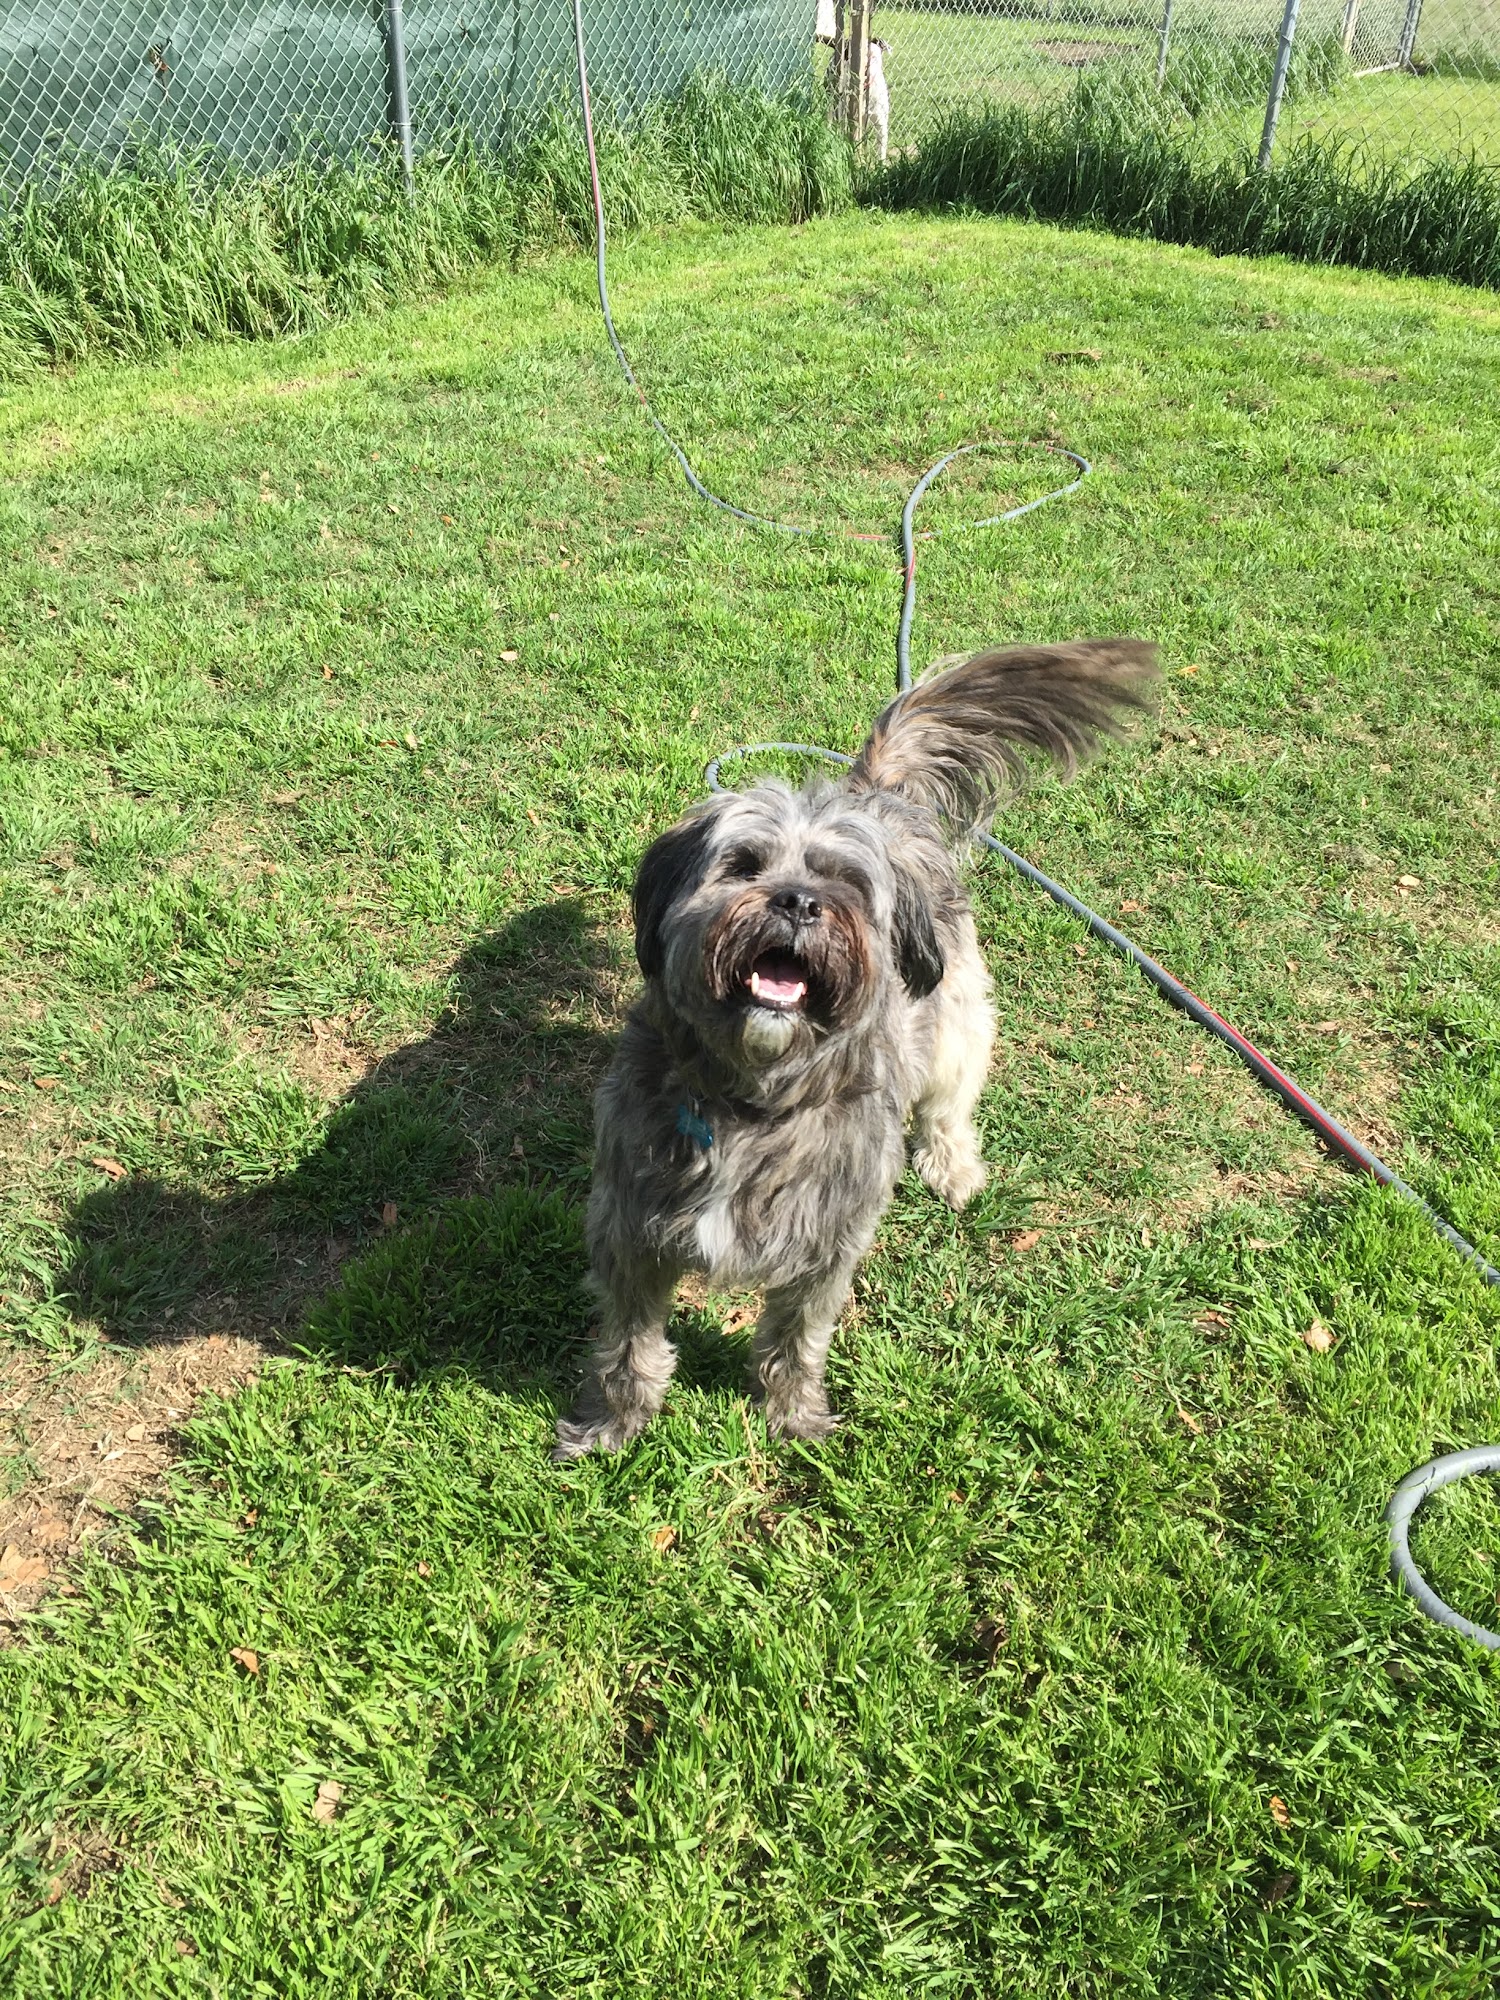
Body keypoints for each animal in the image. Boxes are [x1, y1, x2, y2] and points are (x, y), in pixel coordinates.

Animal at [560, 648, 1160, 1464]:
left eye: (842, 881)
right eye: (743, 865)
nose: (797, 902)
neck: (755, 1102)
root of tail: (874, 795)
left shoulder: (826, 1247)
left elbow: (795, 1344)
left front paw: (794, 1419)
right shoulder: (629, 1231)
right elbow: (628, 1348)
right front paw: (609, 1426)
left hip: (955, 1026)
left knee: (949, 1106)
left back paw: (953, 1168)